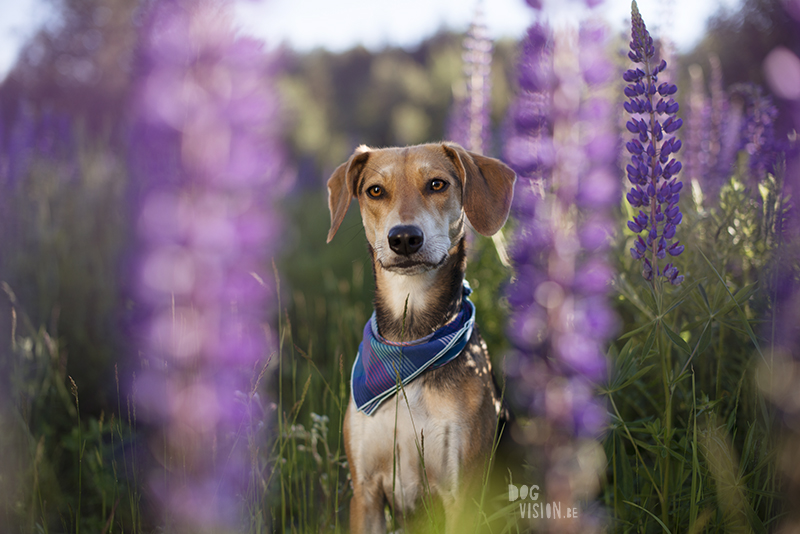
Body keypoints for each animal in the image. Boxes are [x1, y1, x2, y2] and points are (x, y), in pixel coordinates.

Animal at [328, 142, 516, 534]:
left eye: (437, 184)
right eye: (375, 191)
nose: (403, 238)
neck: (408, 344)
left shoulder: (461, 493)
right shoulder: (365, 492)